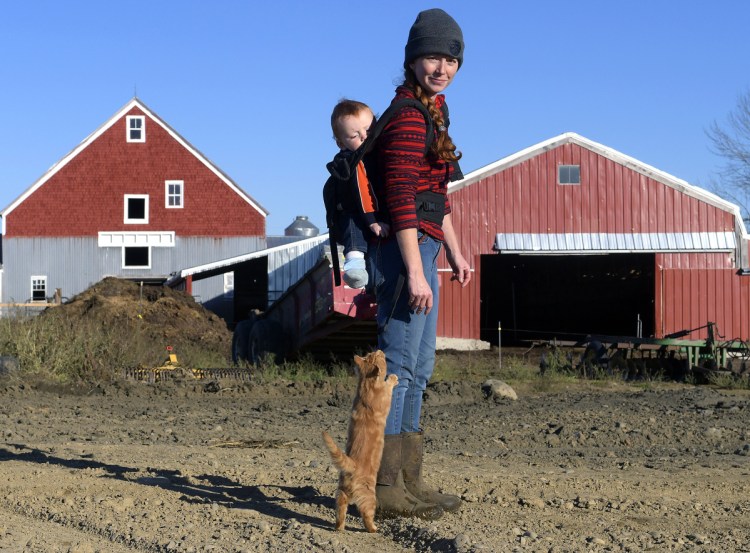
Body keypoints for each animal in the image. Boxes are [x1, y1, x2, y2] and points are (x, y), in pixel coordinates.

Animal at [324, 350, 400, 532]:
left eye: (369, 354)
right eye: (378, 356)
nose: (380, 350)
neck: (366, 386)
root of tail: (352, 464)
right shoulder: (385, 397)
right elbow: (388, 386)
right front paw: (392, 378)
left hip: (341, 491)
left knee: (340, 510)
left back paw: (339, 527)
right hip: (369, 497)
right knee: (366, 514)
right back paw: (374, 529)